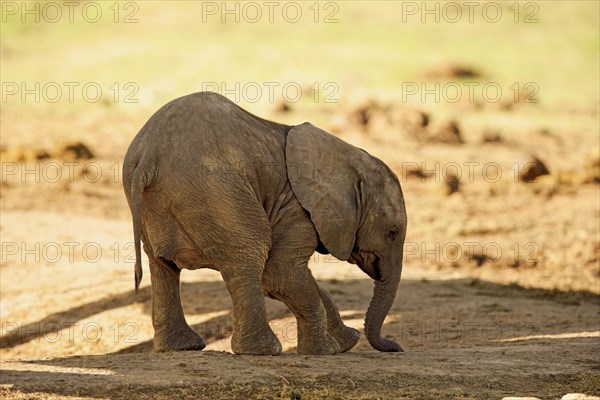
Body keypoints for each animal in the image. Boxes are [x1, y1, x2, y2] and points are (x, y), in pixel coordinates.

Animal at [125, 92, 410, 354]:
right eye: (392, 233)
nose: (396, 347)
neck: (348, 157)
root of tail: (149, 156)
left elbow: (287, 278)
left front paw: (345, 343)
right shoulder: (297, 210)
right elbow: (279, 272)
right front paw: (326, 351)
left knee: (163, 266)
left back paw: (183, 347)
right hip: (212, 190)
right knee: (249, 254)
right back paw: (264, 350)